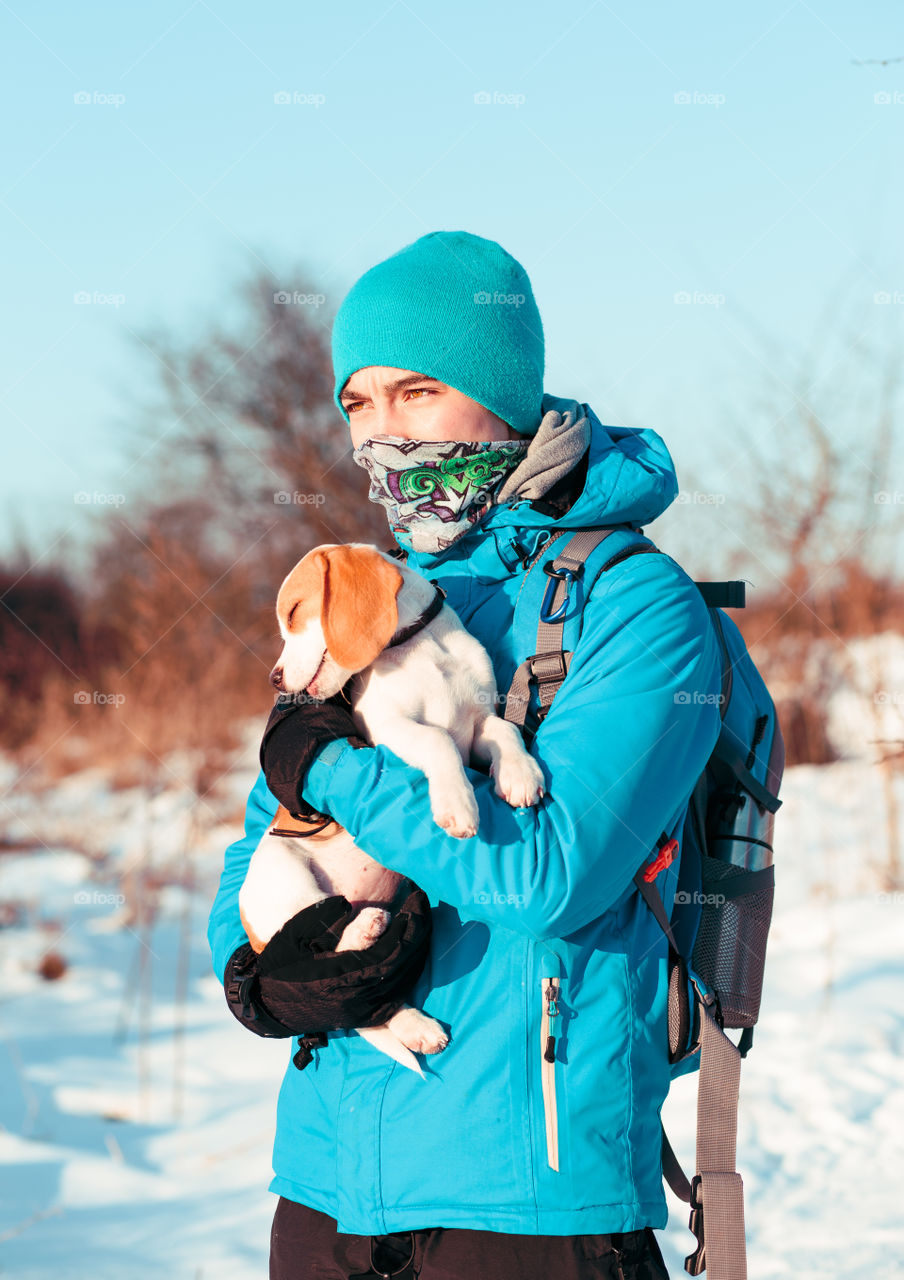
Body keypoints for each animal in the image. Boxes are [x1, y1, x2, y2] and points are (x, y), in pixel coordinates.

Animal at [238, 540, 542, 1070]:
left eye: (294, 612)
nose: (275, 680)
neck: (420, 649)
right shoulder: (388, 730)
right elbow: (437, 740)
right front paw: (458, 807)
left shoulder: (479, 724)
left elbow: (503, 730)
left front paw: (520, 774)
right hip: (284, 874)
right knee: (319, 947)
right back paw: (363, 930)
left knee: (367, 999)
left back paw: (416, 1026)